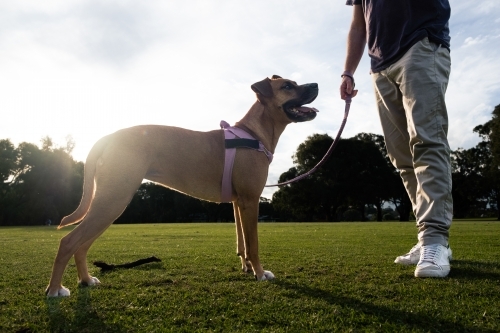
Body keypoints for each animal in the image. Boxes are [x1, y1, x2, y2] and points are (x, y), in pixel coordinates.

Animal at [44, 74, 316, 296]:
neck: (253, 133)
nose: (316, 84)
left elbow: (242, 243)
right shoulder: (251, 201)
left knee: (81, 245)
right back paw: (55, 289)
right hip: (113, 200)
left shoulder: (239, 203)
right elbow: (254, 245)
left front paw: (247, 268)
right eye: (287, 86)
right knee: (69, 242)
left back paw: (86, 280)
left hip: (108, 202)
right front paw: (260, 273)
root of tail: (106, 138)